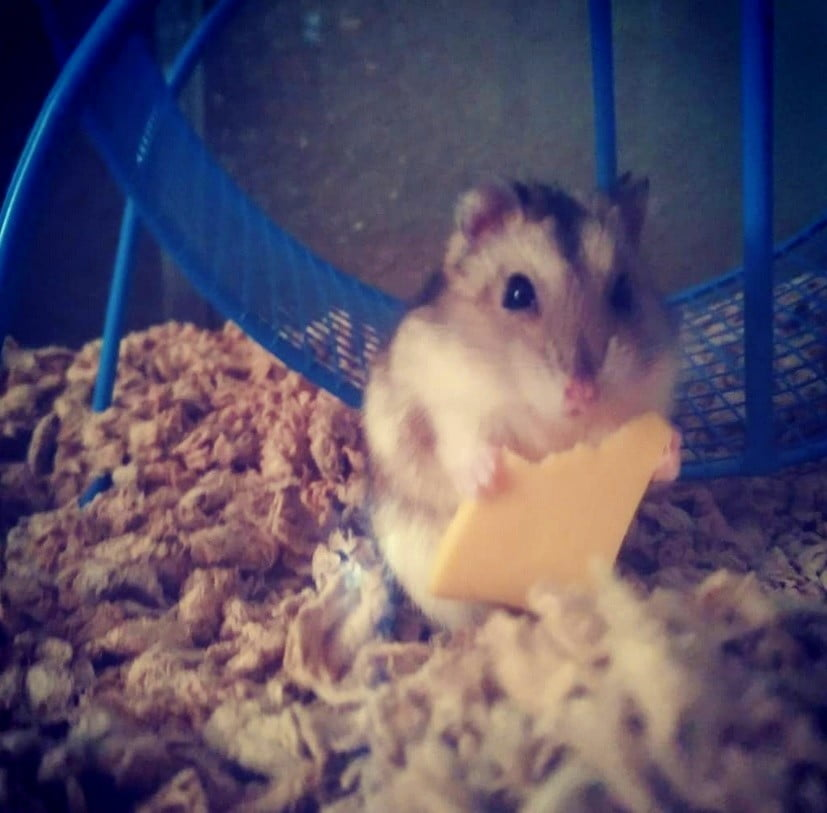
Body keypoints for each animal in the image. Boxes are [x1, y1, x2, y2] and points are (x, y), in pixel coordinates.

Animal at [363, 174, 681, 629]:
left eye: (624, 292)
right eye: (516, 293)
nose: (584, 392)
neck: (552, 420)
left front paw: (671, 448)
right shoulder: (444, 399)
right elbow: (459, 442)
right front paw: (487, 477)